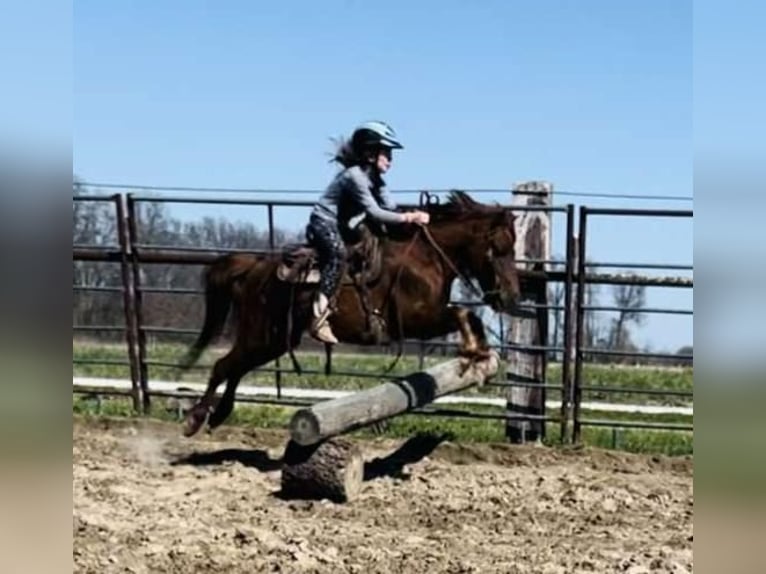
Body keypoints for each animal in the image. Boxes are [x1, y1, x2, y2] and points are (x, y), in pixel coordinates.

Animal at [181, 191, 524, 438]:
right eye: (498, 248)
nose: (511, 297)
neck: (425, 258)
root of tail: (253, 267)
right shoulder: (416, 321)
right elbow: (463, 313)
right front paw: (472, 355)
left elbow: (468, 316)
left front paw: (481, 356)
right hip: (260, 335)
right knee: (224, 366)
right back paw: (196, 418)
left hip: (272, 341)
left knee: (235, 368)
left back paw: (217, 414)